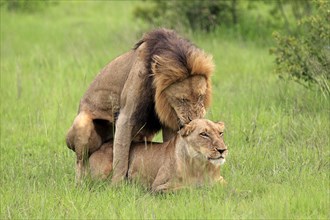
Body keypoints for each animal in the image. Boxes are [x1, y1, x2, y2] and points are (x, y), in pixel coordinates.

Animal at [65, 29, 214, 184]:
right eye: (182, 100)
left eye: (201, 96)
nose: (194, 120)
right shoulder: (126, 117)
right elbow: (121, 155)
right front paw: (117, 185)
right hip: (81, 126)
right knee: (81, 162)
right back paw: (80, 183)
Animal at [89, 118, 228, 192]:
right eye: (204, 134)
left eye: (220, 133)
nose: (222, 150)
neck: (201, 166)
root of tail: (100, 146)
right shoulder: (157, 187)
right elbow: (187, 188)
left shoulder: (221, 181)